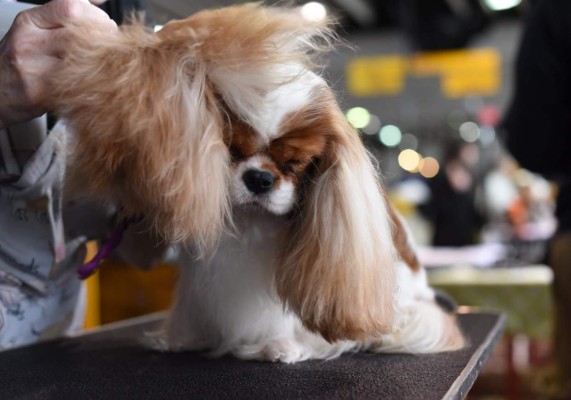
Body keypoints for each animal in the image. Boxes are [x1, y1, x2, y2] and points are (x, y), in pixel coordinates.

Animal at [49, 3, 466, 362]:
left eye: (294, 164)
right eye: (233, 150)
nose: (260, 178)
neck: (250, 221)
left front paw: (282, 347)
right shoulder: (200, 282)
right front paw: (180, 339)